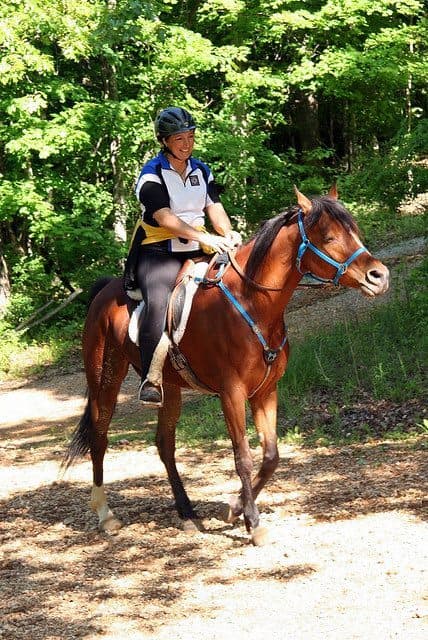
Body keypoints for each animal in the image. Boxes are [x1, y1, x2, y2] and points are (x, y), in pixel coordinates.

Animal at [65, 185, 390, 544]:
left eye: (354, 231)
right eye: (330, 237)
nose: (379, 276)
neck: (252, 302)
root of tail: (103, 292)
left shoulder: (265, 391)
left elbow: (271, 455)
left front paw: (235, 508)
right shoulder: (231, 393)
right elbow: (243, 457)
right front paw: (253, 522)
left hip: (170, 388)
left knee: (165, 444)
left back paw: (187, 512)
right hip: (105, 378)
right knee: (100, 436)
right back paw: (105, 513)